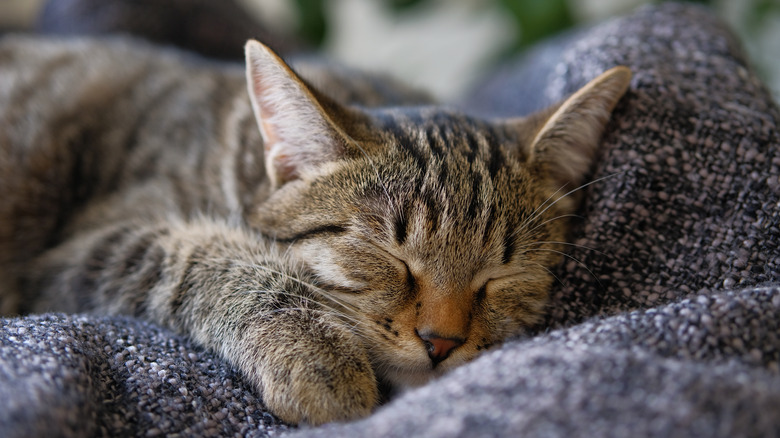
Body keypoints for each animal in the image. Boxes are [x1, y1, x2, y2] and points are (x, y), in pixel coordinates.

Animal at [0, 36, 632, 426]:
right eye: (386, 254)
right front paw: (315, 352)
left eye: (503, 275)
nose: (442, 342)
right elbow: (206, 258)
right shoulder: (79, 250)